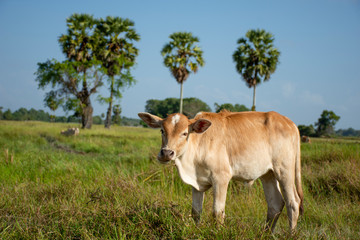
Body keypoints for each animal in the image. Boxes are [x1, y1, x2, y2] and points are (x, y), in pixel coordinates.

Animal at [139, 111, 304, 232]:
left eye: (184, 133)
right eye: (162, 130)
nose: (166, 153)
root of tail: (291, 124)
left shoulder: (221, 178)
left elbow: (217, 211)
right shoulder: (196, 184)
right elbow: (196, 211)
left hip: (284, 170)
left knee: (293, 203)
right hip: (268, 174)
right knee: (275, 204)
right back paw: (266, 233)